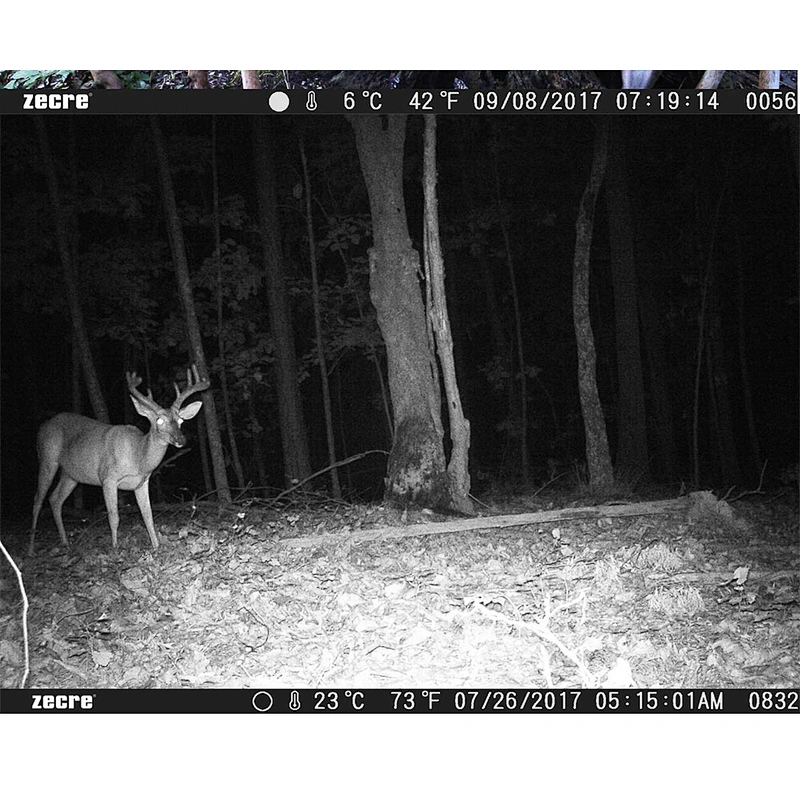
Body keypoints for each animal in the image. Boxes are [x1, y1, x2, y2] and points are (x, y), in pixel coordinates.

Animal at [29, 366, 210, 557]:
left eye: (181, 420)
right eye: (159, 420)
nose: (181, 440)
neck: (138, 457)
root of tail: (44, 425)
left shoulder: (141, 483)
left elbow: (148, 515)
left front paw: (156, 546)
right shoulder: (107, 478)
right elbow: (114, 516)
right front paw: (115, 548)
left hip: (71, 475)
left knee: (55, 499)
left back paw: (65, 543)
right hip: (47, 458)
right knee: (38, 500)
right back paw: (31, 549)